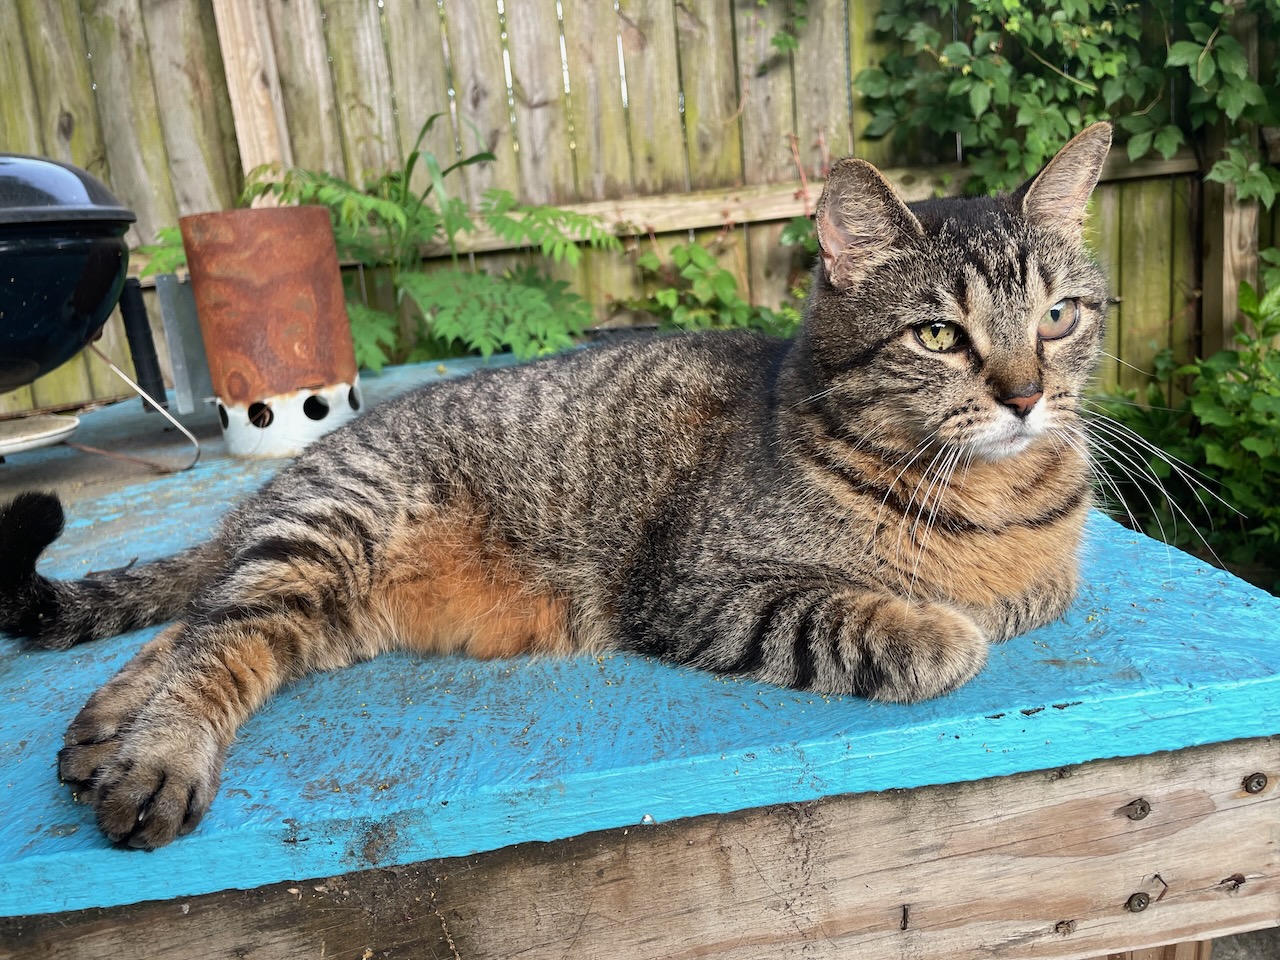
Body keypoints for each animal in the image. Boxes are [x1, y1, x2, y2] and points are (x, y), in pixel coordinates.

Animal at [0, 120, 1111, 849]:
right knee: (214, 641)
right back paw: (155, 754)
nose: (1024, 397)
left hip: (326, 609)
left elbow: (1035, 589)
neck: (987, 494)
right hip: (325, 538)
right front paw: (940, 623)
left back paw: (102, 731)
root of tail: (277, 488)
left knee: (198, 626)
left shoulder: (1048, 565)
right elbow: (902, 626)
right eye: (938, 337)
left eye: (1057, 318)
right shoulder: (694, 590)